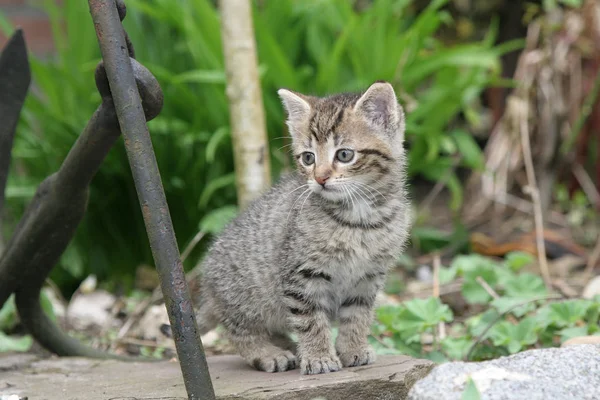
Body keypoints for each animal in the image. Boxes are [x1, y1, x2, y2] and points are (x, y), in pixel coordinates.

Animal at [192, 81, 412, 376]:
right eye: (308, 158)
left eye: (344, 154)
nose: (319, 178)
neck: (359, 219)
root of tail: (208, 286)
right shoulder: (301, 274)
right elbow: (310, 320)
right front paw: (319, 357)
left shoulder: (368, 276)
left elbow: (358, 315)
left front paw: (352, 349)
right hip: (245, 297)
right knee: (239, 331)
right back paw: (268, 353)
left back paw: (288, 347)